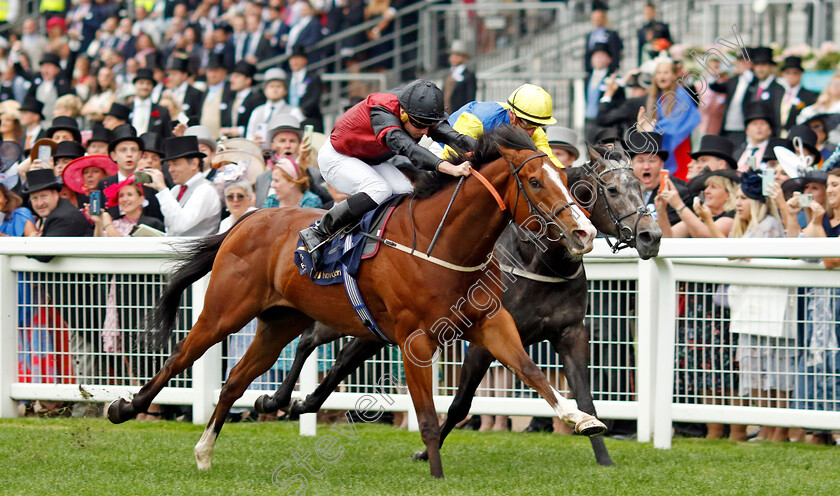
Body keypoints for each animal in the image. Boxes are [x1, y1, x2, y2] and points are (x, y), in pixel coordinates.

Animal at [110, 126, 612, 478]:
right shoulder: (415, 339)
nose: (584, 233)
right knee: (180, 356)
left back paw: (205, 450)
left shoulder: (490, 322)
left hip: (279, 322)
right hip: (225, 311)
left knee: (235, 381)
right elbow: (427, 417)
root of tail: (247, 218)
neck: (445, 243)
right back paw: (126, 408)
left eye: (565, 176)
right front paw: (436, 475)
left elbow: (529, 371)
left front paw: (581, 418)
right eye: (535, 181)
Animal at [253, 143, 660, 468]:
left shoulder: (570, 332)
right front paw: (424, 452)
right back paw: (278, 400)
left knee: (342, 362)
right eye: (610, 189)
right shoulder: (481, 342)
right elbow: (461, 403)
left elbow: (586, 398)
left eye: (644, 187)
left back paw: (301, 404)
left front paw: (603, 456)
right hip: (345, 314)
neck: (539, 263)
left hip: (377, 329)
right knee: (310, 341)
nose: (651, 236)